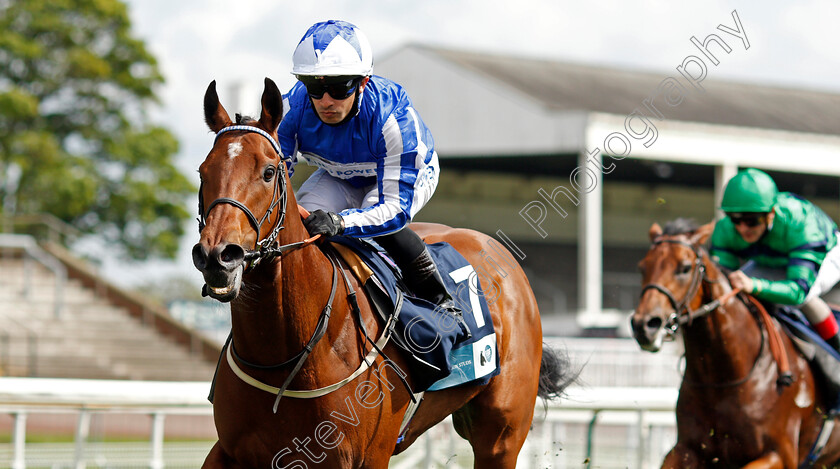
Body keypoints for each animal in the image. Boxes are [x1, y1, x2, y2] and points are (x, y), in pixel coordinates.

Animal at [191, 78, 576, 466]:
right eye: (202, 172)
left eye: (269, 172)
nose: (217, 256)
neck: (286, 357)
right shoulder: (231, 452)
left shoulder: (366, 457)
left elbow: (392, 205)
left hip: (501, 436)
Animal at [632, 219, 840, 468]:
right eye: (642, 267)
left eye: (684, 268)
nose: (644, 325)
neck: (723, 379)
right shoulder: (687, 448)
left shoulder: (780, 454)